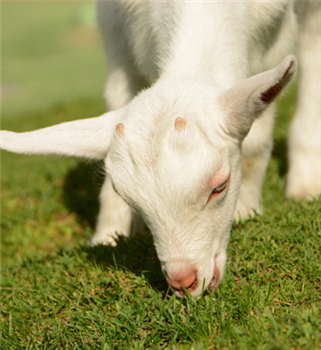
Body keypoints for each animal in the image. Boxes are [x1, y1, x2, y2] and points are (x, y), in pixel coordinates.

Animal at [0, 0, 320, 296]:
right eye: (129, 198)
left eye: (220, 186)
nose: (184, 282)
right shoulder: (114, 26)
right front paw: (108, 234)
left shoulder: (275, 38)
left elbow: (255, 143)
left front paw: (247, 211)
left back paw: (306, 185)